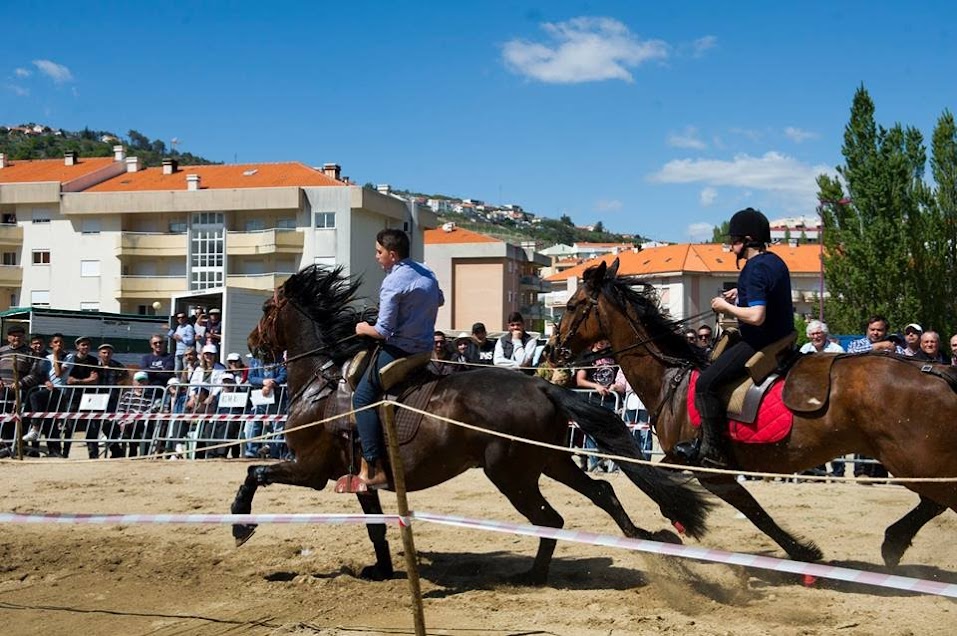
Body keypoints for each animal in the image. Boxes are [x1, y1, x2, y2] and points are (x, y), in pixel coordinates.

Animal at [230, 266, 708, 584]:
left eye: (267, 308)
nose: (253, 343)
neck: (322, 381)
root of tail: (541, 384)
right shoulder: (359, 479)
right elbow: (375, 527)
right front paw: (380, 569)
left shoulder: (310, 468)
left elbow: (255, 472)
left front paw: (239, 524)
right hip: (549, 462)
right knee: (602, 492)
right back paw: (644, 541)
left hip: (512, 474)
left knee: (551, 518)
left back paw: (533, 575)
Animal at [548, 258, 956, 568]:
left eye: (572, 306)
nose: (552, 349)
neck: (670, 376)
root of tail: (937, 371)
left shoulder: (709, 470)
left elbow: (751, 511)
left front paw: (801, 552)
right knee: (933, 502)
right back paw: (894, 542)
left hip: (914, 461)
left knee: (939, 499)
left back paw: (894, 542)